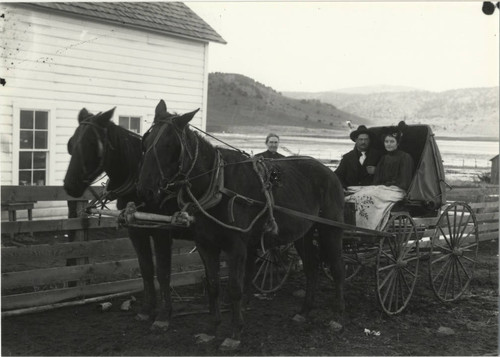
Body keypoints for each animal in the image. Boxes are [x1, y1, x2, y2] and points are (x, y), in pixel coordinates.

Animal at [62, 106, 184, 330]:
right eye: (71, 143)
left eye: (91, 144)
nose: (69, 185)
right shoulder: (136, 230)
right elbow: (146, 268)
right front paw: (147, 310)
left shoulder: (161, 231)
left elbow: (163, 272)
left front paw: (163, 315)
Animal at [137, 99, 348, 348]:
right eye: (146, 142)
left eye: (170, 145)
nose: (145, 190)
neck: (218, 184)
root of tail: (330, 172)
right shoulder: (206, 245)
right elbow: (213, 286)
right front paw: (211, 329)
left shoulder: (236, 247)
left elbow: (235, 289)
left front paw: (235, 333)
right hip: (304, 233)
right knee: (312, 268)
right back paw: (304, 312)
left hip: (330, 229)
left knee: (337, 269)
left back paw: (337, 316)